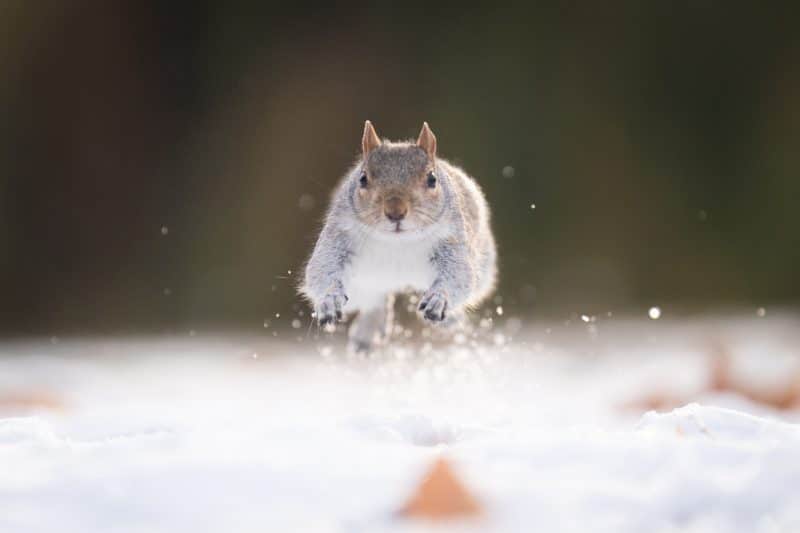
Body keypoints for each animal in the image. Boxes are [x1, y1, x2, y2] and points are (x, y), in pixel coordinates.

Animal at [302, 122, 496, 352]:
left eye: (432, 179)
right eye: (363, 179)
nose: (395, 211)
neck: (398, 242)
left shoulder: (452, 240)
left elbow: (458, 275)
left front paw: (439, 300)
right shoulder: (339, 236)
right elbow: (323, 270)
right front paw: (329, 300)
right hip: (364, 285)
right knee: (376, 301)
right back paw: (368, 331)